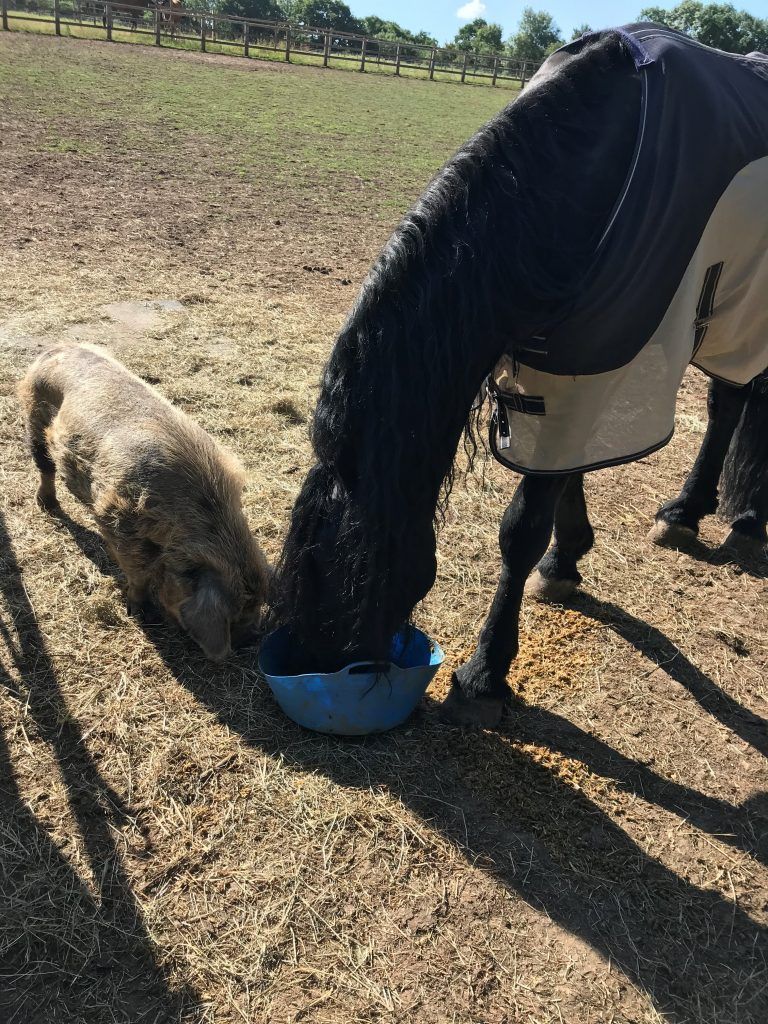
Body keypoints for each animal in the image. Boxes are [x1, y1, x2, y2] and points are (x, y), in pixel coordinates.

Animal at [272, 24, 768, 729]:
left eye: (337, 573)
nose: (306, 669)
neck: (576, 177)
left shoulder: (595, 362)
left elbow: (522, 527)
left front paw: (485, 673)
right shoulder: (566, 364)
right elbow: (563, 480)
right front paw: (567, 559)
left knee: (735, 399)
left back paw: (731, 517)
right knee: (734, 404)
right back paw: (695, 512)